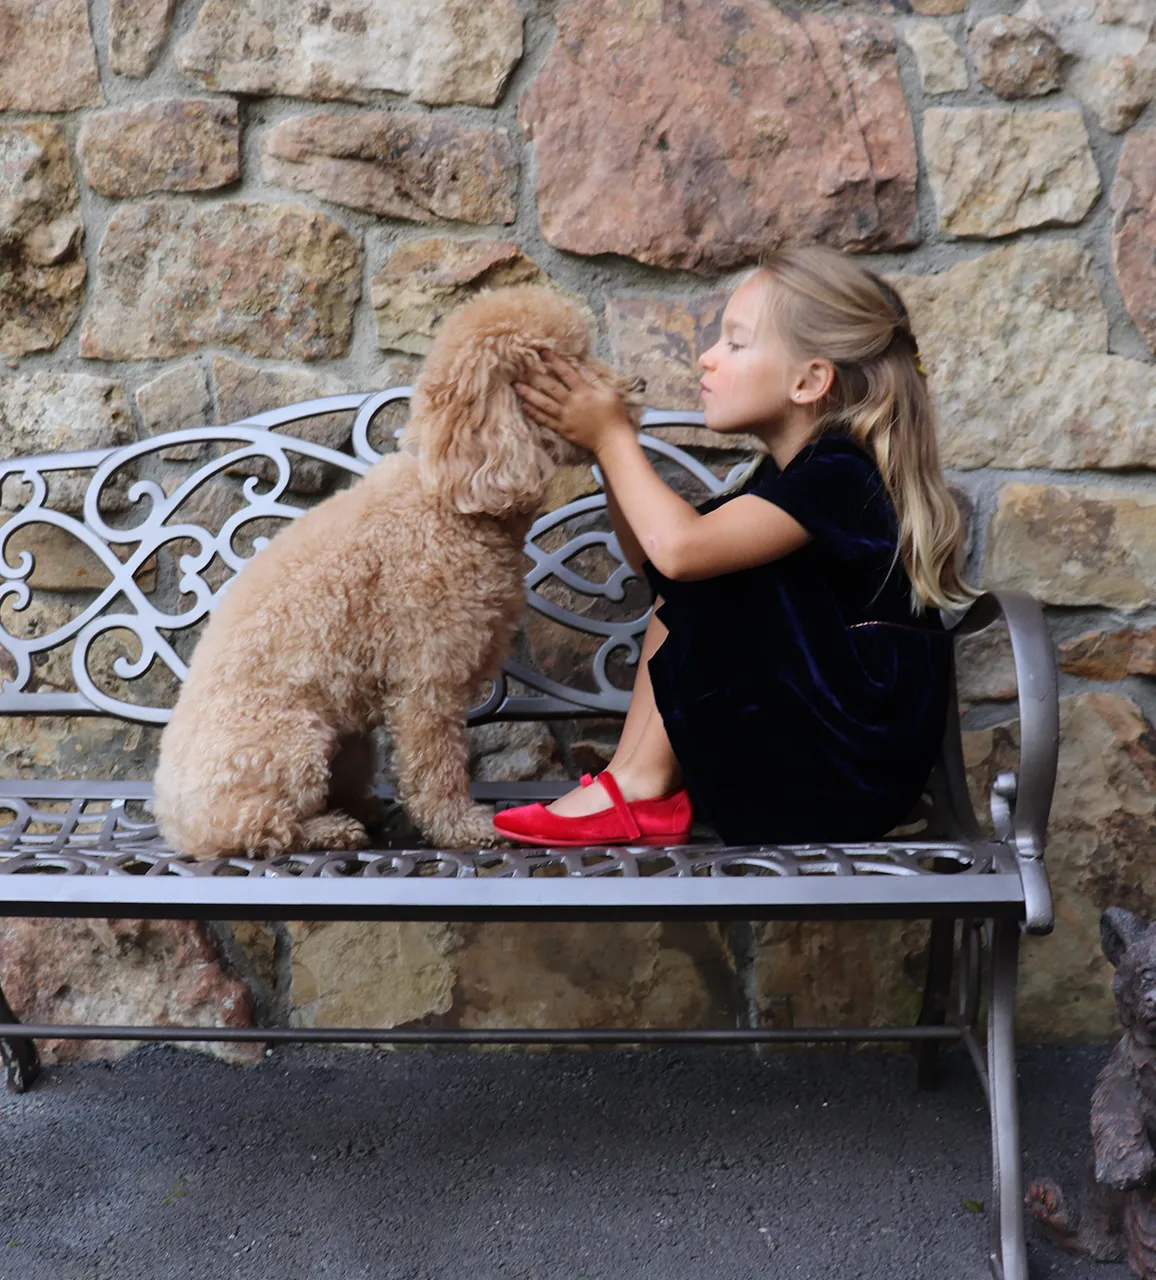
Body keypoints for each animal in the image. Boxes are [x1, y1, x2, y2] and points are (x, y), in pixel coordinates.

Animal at [152, 285, 632, 855]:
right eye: (567, 364)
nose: (632, 392)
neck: (449, 501)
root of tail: (174, 820)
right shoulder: (428, 678)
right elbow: (436, 766)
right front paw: (462, 826)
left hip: (349, 740)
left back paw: (355, 807)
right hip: (290, 741)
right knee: (255, 824)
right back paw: (328, 828)